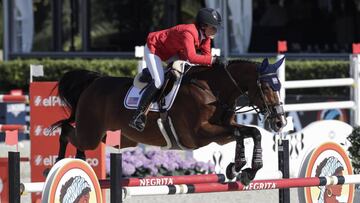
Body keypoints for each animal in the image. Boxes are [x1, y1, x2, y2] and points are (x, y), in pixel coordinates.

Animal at [52, 56, 286, 184]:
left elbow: (251, 132)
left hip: (116, 137)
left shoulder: (222, 131)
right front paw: (239, 167)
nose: (280, 122)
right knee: (67, 131)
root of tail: (94, 81)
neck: (212, 90)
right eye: (267, 87)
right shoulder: (198, 135)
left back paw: (80, 160)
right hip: (91, 133)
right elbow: (241, 133)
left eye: (279, 86)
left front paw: (244, 170)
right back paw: (59, 163)